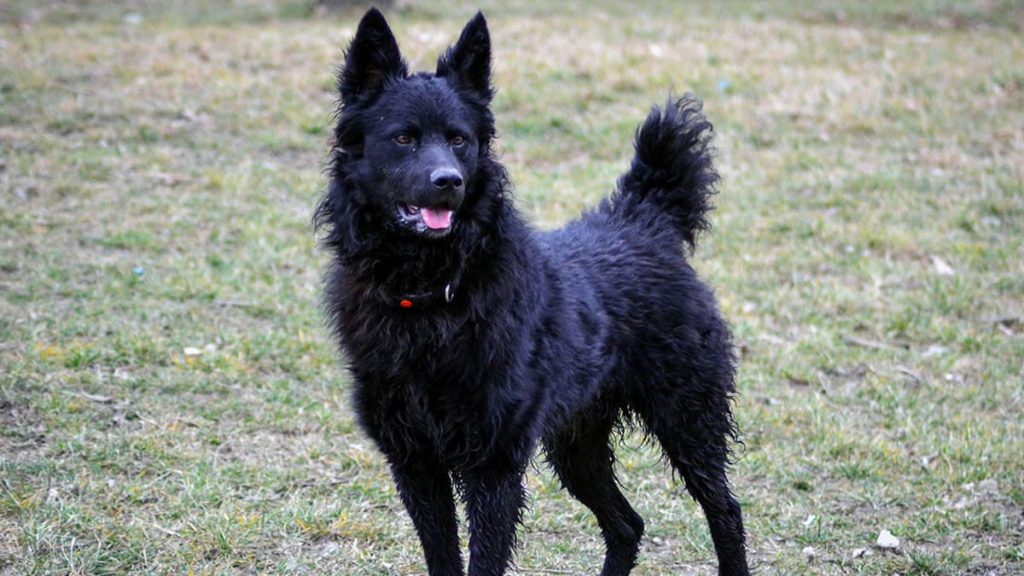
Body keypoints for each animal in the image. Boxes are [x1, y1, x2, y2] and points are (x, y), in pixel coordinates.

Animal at [315, 8, 749, 573]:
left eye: (459, 140)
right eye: (403, 139)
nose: (448, 182)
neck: (432, 292)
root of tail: (642, 217)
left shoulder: (493, 467)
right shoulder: (416, 464)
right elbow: (443, 557)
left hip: (687, 419)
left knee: (726, 511)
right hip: (577, 443)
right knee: (628, 524)